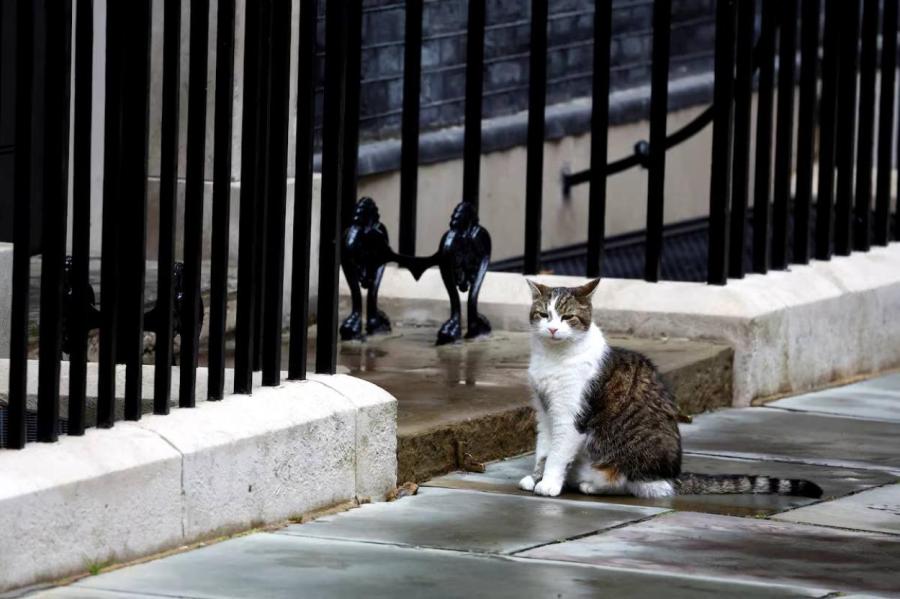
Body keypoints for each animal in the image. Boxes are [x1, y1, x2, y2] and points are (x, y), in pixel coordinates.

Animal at [520, 278, 824, 500]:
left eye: (568, 316)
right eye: (544, 315)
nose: (552, 329)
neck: (553, 357)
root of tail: (671, 476)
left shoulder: (571, 415)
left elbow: (558, 453)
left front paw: (549, 483)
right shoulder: (545, 410)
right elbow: (543, 449)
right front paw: (536, 478)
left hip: (625, 457)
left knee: (633, 483)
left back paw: (593, 484)